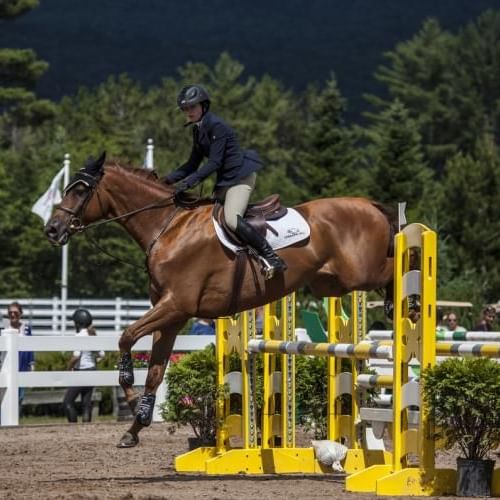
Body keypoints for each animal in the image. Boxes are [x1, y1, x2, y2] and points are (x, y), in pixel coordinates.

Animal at [45, 154, 394, 448]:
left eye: (80, 191)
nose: (52, 230)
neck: (167, 228)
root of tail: (369, 204)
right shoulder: (172, 317)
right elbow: (155, 371)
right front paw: (136, 425)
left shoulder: (176, 305)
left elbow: (126, 336)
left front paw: (131, 398)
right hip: (330, 283)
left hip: (361, 273)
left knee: (394, 265)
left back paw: (402, 303)